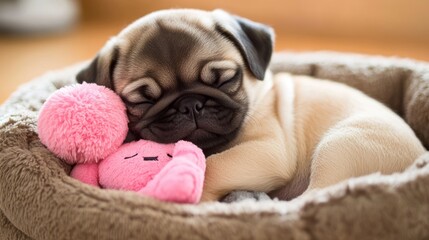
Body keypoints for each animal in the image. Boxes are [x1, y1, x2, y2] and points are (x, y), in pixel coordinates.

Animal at [74, 8, 424, 202]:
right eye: (143, 99)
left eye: (224, 79)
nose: (190, 105)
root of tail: (420, 156)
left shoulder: (268, 150)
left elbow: (214, 166)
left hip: (342, 145)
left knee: (316, 196)